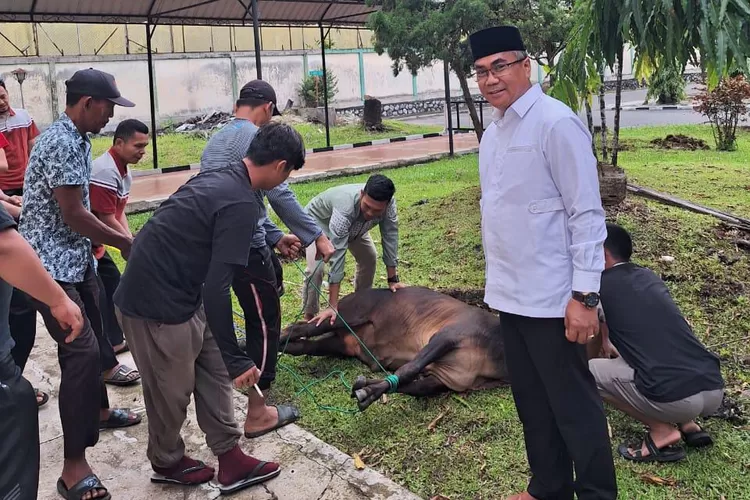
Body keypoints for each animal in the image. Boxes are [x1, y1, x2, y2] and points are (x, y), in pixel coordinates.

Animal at [280, 286, 516, 410]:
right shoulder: (448, 335)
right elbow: (409, 369)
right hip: (344, 315)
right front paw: (370, 391)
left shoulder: (448, 378)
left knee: (305, 345)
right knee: (301, 327)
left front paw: (367, 389)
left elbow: (415, 387)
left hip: (342, 344)